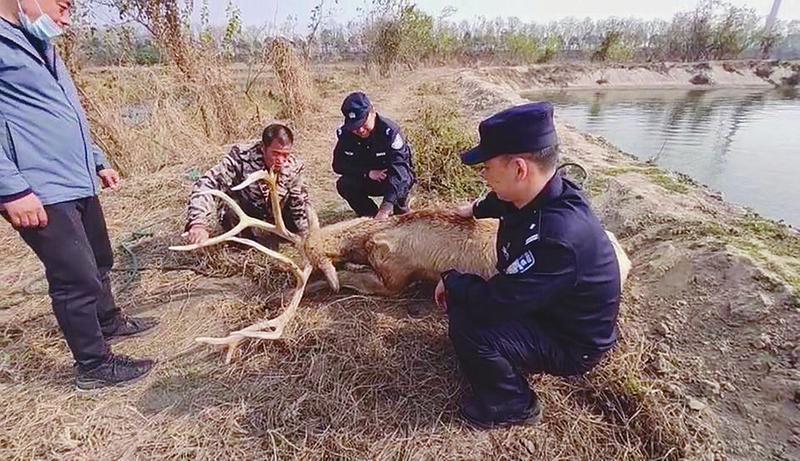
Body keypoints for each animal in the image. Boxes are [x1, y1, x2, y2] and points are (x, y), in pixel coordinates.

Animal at [170, 171, 632, 362]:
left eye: (304, 261)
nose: (285, 284)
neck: (369, 239)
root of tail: (623, 257)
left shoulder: (394, 279)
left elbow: (343, 279)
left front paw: (293, 292)